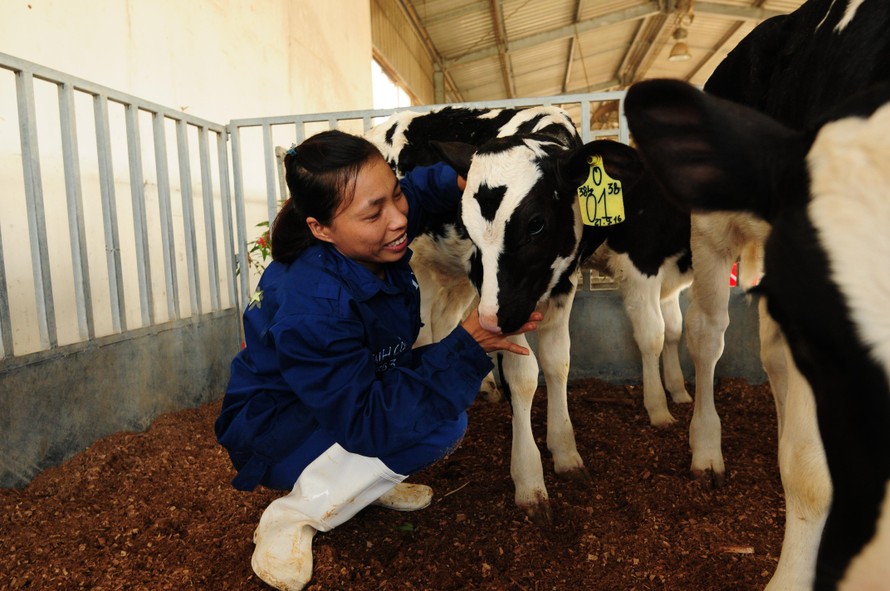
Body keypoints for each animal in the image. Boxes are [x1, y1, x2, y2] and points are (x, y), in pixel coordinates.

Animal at [364, 106, 692, 524]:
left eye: (536, 224)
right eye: (469, 228)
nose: (492, 321)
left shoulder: (563, 282)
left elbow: (557, 362)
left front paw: (565, 451)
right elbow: (523, 375)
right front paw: (530, 480)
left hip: (449, 278)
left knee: (443, 326)